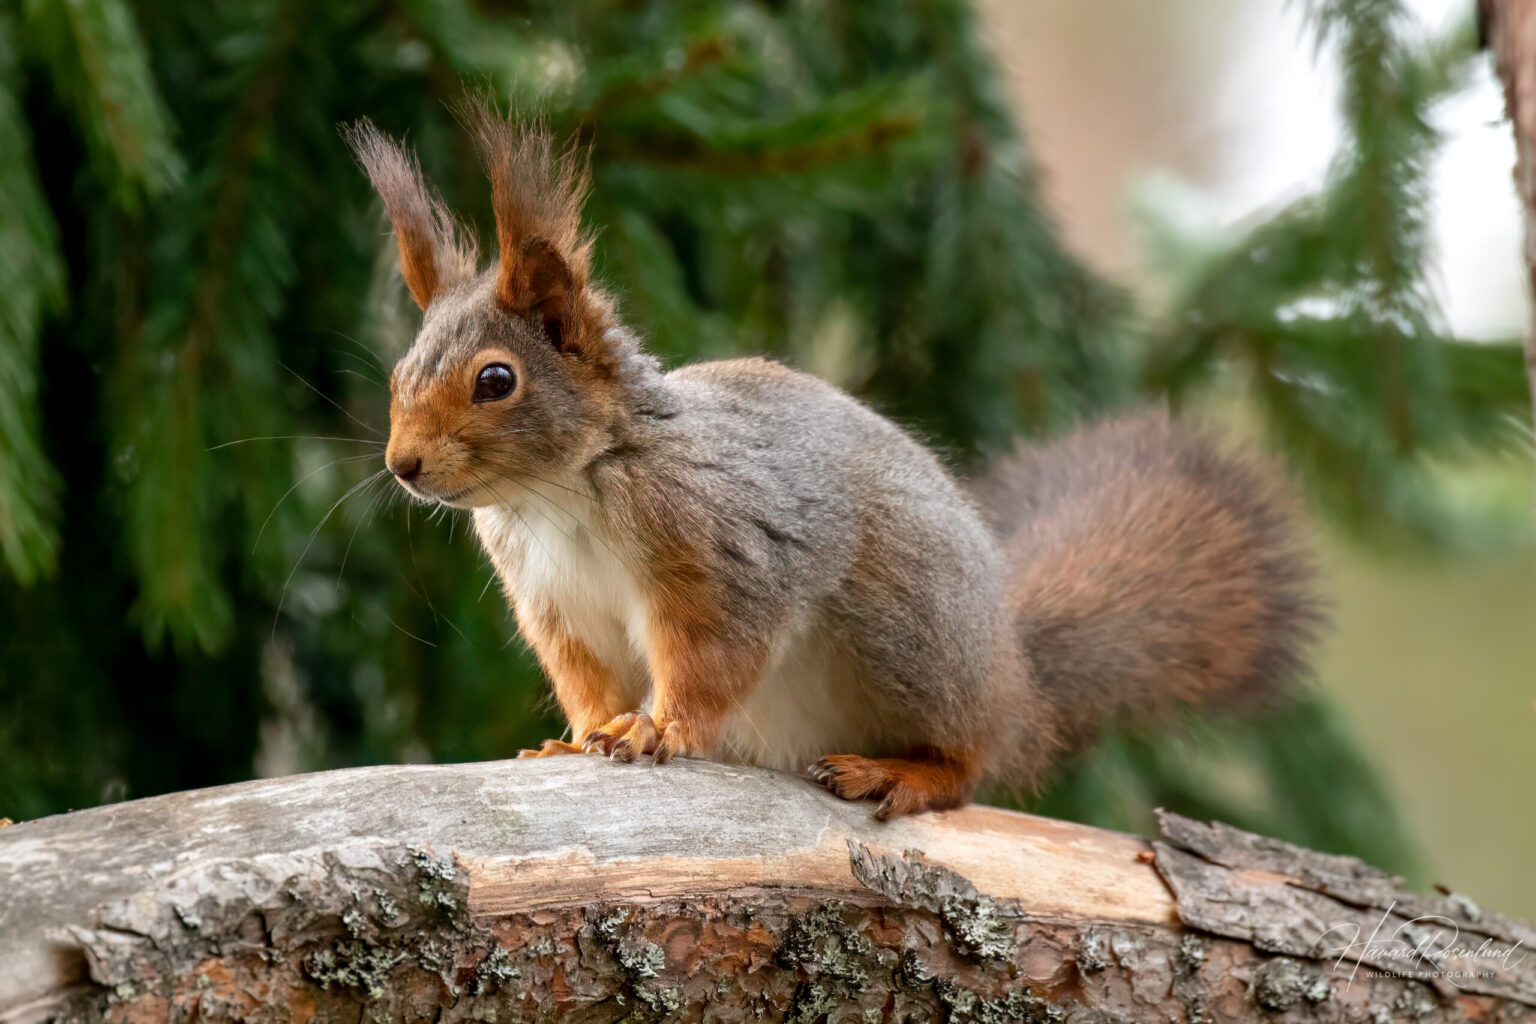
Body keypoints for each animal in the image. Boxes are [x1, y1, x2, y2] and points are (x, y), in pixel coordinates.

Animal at [344, 107, 1321, 820]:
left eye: (495, 380)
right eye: (396, 373)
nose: (403, 466)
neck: (563, 489)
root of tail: (1015, 677)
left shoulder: (722, 554)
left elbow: (712, 657)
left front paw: (662, 729)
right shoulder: (554, 604)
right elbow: (586, 680)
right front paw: (581, 736)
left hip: (907, 638)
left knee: (971, 762)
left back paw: (908, 773)